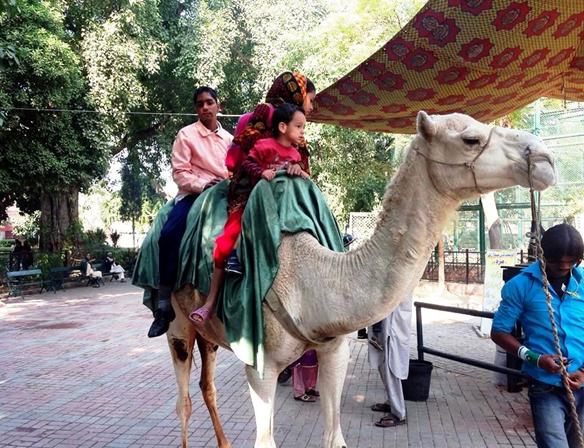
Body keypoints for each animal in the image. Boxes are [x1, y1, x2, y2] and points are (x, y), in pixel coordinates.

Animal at [164, 111, 556, 448]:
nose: (544, 158)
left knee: (207, 385)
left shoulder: (333, 349)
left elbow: (334, 437)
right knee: (183, 397)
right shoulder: (260, 366)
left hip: (210, 337)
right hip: (177, 322)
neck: (312, 277)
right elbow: (265, 439)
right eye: (470, 139)